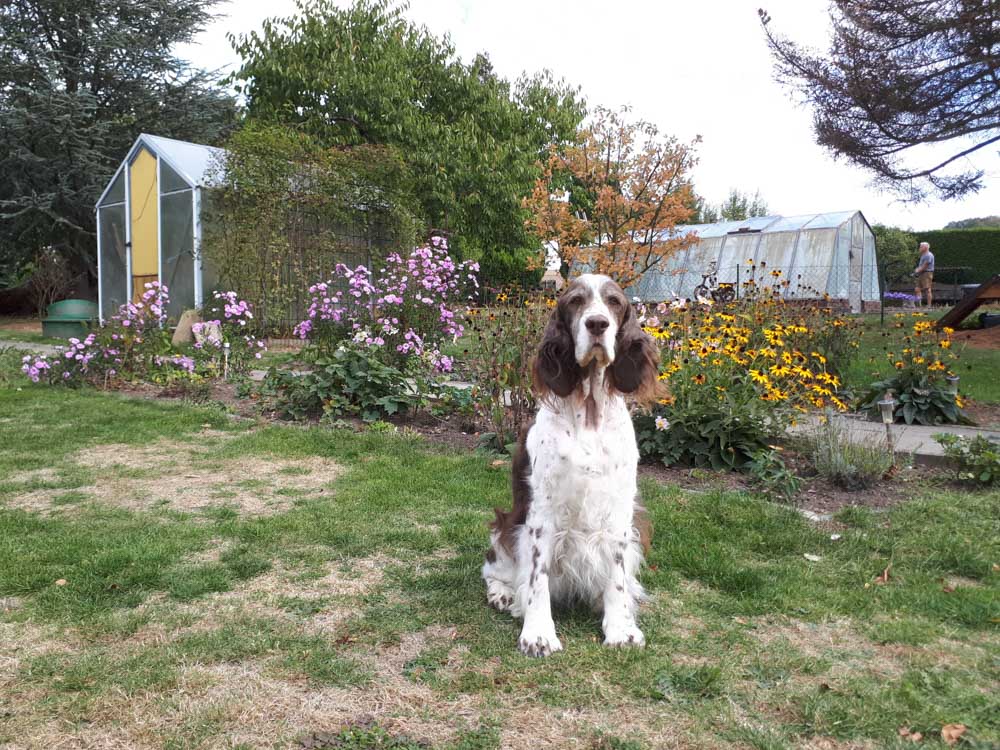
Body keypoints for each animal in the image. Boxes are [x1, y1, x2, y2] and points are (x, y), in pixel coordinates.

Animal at [481, 273, 660, 656]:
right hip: (506, 527)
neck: (589, 412)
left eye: (614, 302)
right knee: (494, 569)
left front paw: (621, 627)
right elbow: (537, 579)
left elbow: (617, 577)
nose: (597, 324)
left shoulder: (619, 511)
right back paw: (503, 594)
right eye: (576, 301)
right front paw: (538, 633)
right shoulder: (541, 515)